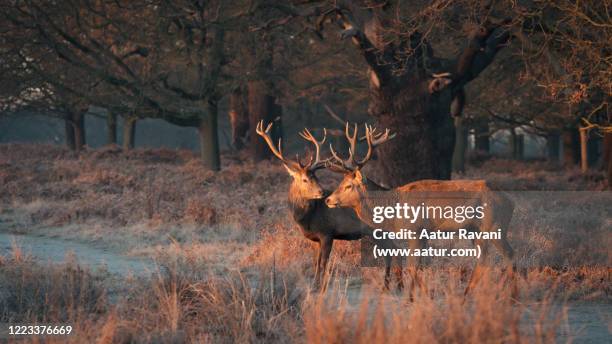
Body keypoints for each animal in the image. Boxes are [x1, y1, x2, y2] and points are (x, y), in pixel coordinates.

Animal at [326, 123, 516, 296]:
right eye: (341, 182)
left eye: (348, 185)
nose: (328, 200)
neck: (393, 211)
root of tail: (510, 201)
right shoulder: (424, 235)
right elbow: (420, 265)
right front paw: (420, 293)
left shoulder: (415, 230)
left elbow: (412, 265)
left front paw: (413, 296)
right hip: (475, 231)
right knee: (484, 260)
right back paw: (469, 293)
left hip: (494, 225)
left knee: (509, 254)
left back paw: (510, 294)